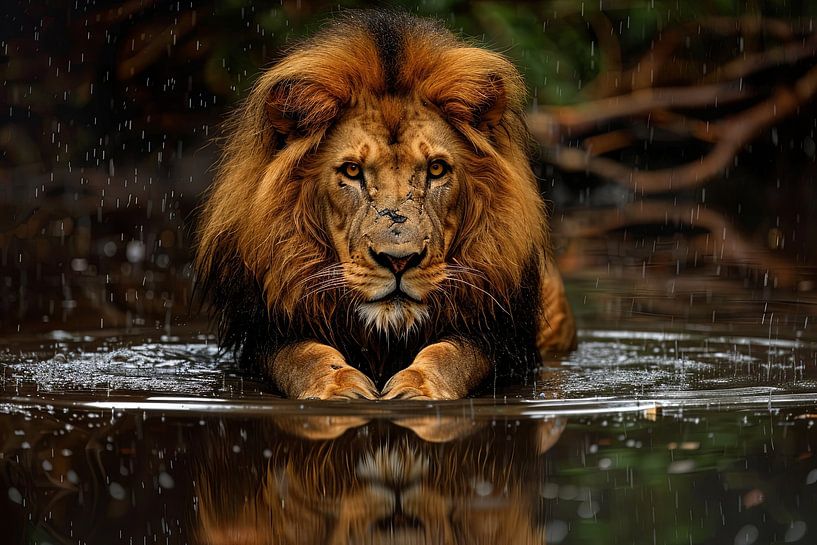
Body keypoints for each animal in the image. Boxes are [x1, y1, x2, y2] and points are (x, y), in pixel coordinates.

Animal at [195, 10, 576, 400]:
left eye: (436, 169)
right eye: (352, 170)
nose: (398, 261)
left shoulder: (499, 342)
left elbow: (452, 353)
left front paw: (417, 387)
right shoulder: (265, 337)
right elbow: (303, 356)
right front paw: (339, 387)